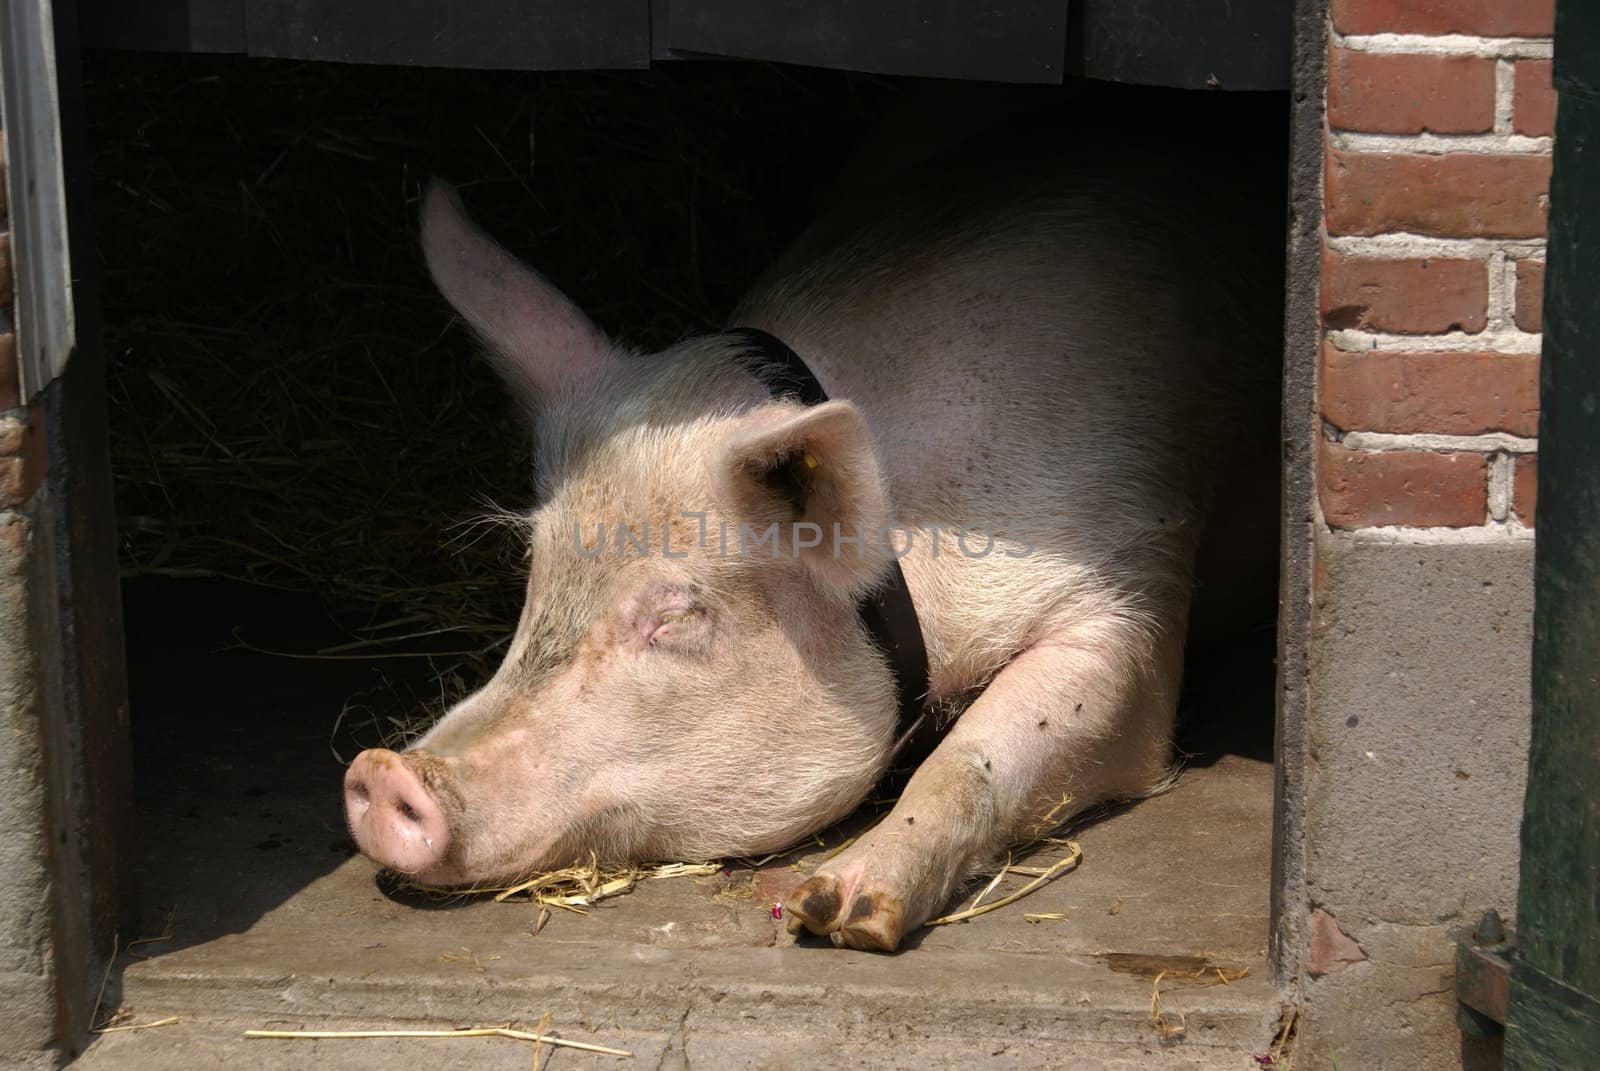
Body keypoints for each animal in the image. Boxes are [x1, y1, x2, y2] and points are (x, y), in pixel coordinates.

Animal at [344, 136, 1280, 954]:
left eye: (679, 615)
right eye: (535, 575)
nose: (383, 773)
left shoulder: (1131, 584)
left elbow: (978, 751)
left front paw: (836, 910)